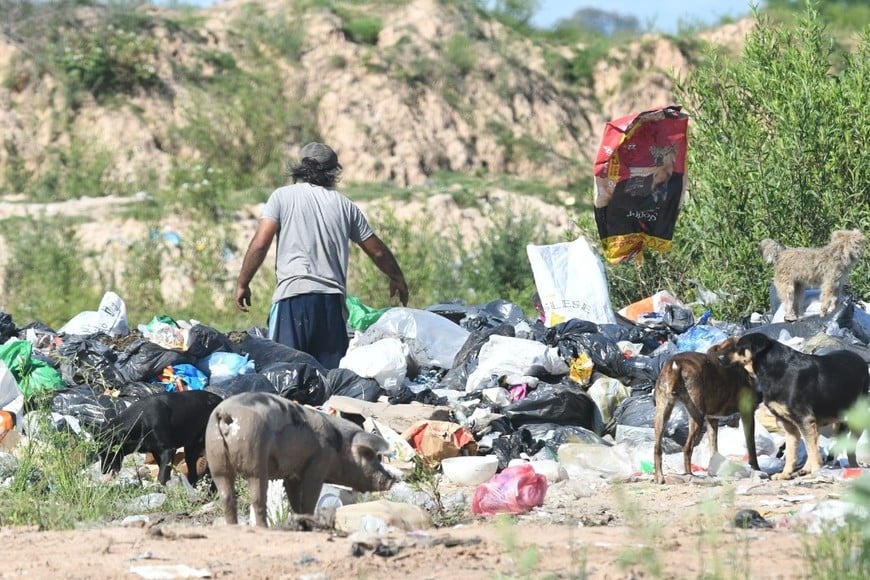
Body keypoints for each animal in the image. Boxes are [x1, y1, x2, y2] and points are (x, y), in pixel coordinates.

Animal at [96, 390, 225, 484]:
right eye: (100, 454)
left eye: (109, 452)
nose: (103, 471)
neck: (140, 421)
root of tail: (222, 400)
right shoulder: (156, 452)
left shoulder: (168, 451)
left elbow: (162, 476)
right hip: (191, 449)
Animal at [204, 390, 396, 524]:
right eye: (370, 456)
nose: (391, 479)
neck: (339, 447)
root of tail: (225, 413)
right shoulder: (318, 465)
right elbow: (310, 498)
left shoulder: (292, 475)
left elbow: (294, 500)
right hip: (254, 458)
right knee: (257, 499)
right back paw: (262, 527)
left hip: (216, 459)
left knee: (227, 497)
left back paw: (233, 526)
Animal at [656, 338, 764, 482]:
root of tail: (677, 363)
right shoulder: (747, 413)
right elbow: (751, 445)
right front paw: (756, 468)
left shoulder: (712, 419)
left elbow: (714, 447)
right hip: (697, 417)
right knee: (687, 448)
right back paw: (689, 475)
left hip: (661, 414)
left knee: (657, 448)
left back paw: (659, 477)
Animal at [720, 334, 868, 478]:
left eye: (738, 347)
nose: (719, 357)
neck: (773, 369)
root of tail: (862, 360)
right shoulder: (790, 425)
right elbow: (792, 452)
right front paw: (785, 474)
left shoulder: (804, 419)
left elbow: (810, 450)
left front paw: (817, 472)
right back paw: (807, 468)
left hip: (854, 419)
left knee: (845, 448)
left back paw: (853, 467)